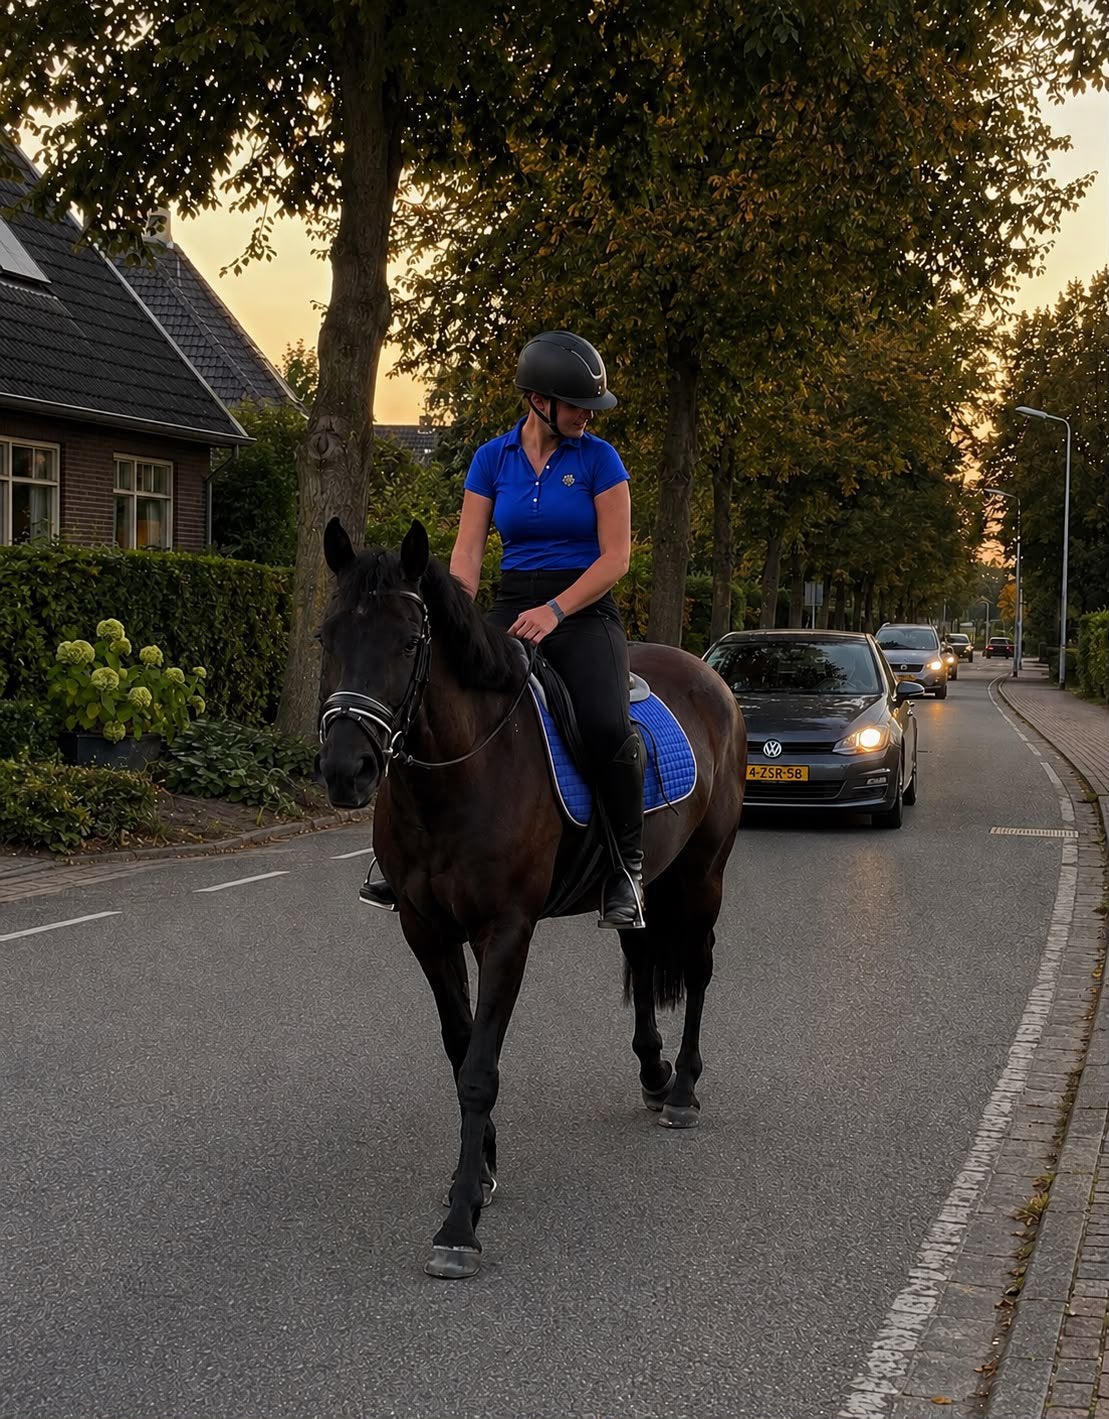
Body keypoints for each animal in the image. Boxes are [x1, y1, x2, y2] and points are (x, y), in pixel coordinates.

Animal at [317, 517, 746, 1279]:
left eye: (407, 641)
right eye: (326, 637)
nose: (346, 770)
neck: (458, 775)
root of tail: (709, 677)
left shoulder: (506, 931)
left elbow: (480, 1069)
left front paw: (460, 1223)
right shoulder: (425, 930)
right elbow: (460, 1048)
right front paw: (480, 1168)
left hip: (703, 873)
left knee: (697, 967)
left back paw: (684, 1090)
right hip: (641, 881)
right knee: (641, 949)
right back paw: (654, 1072)